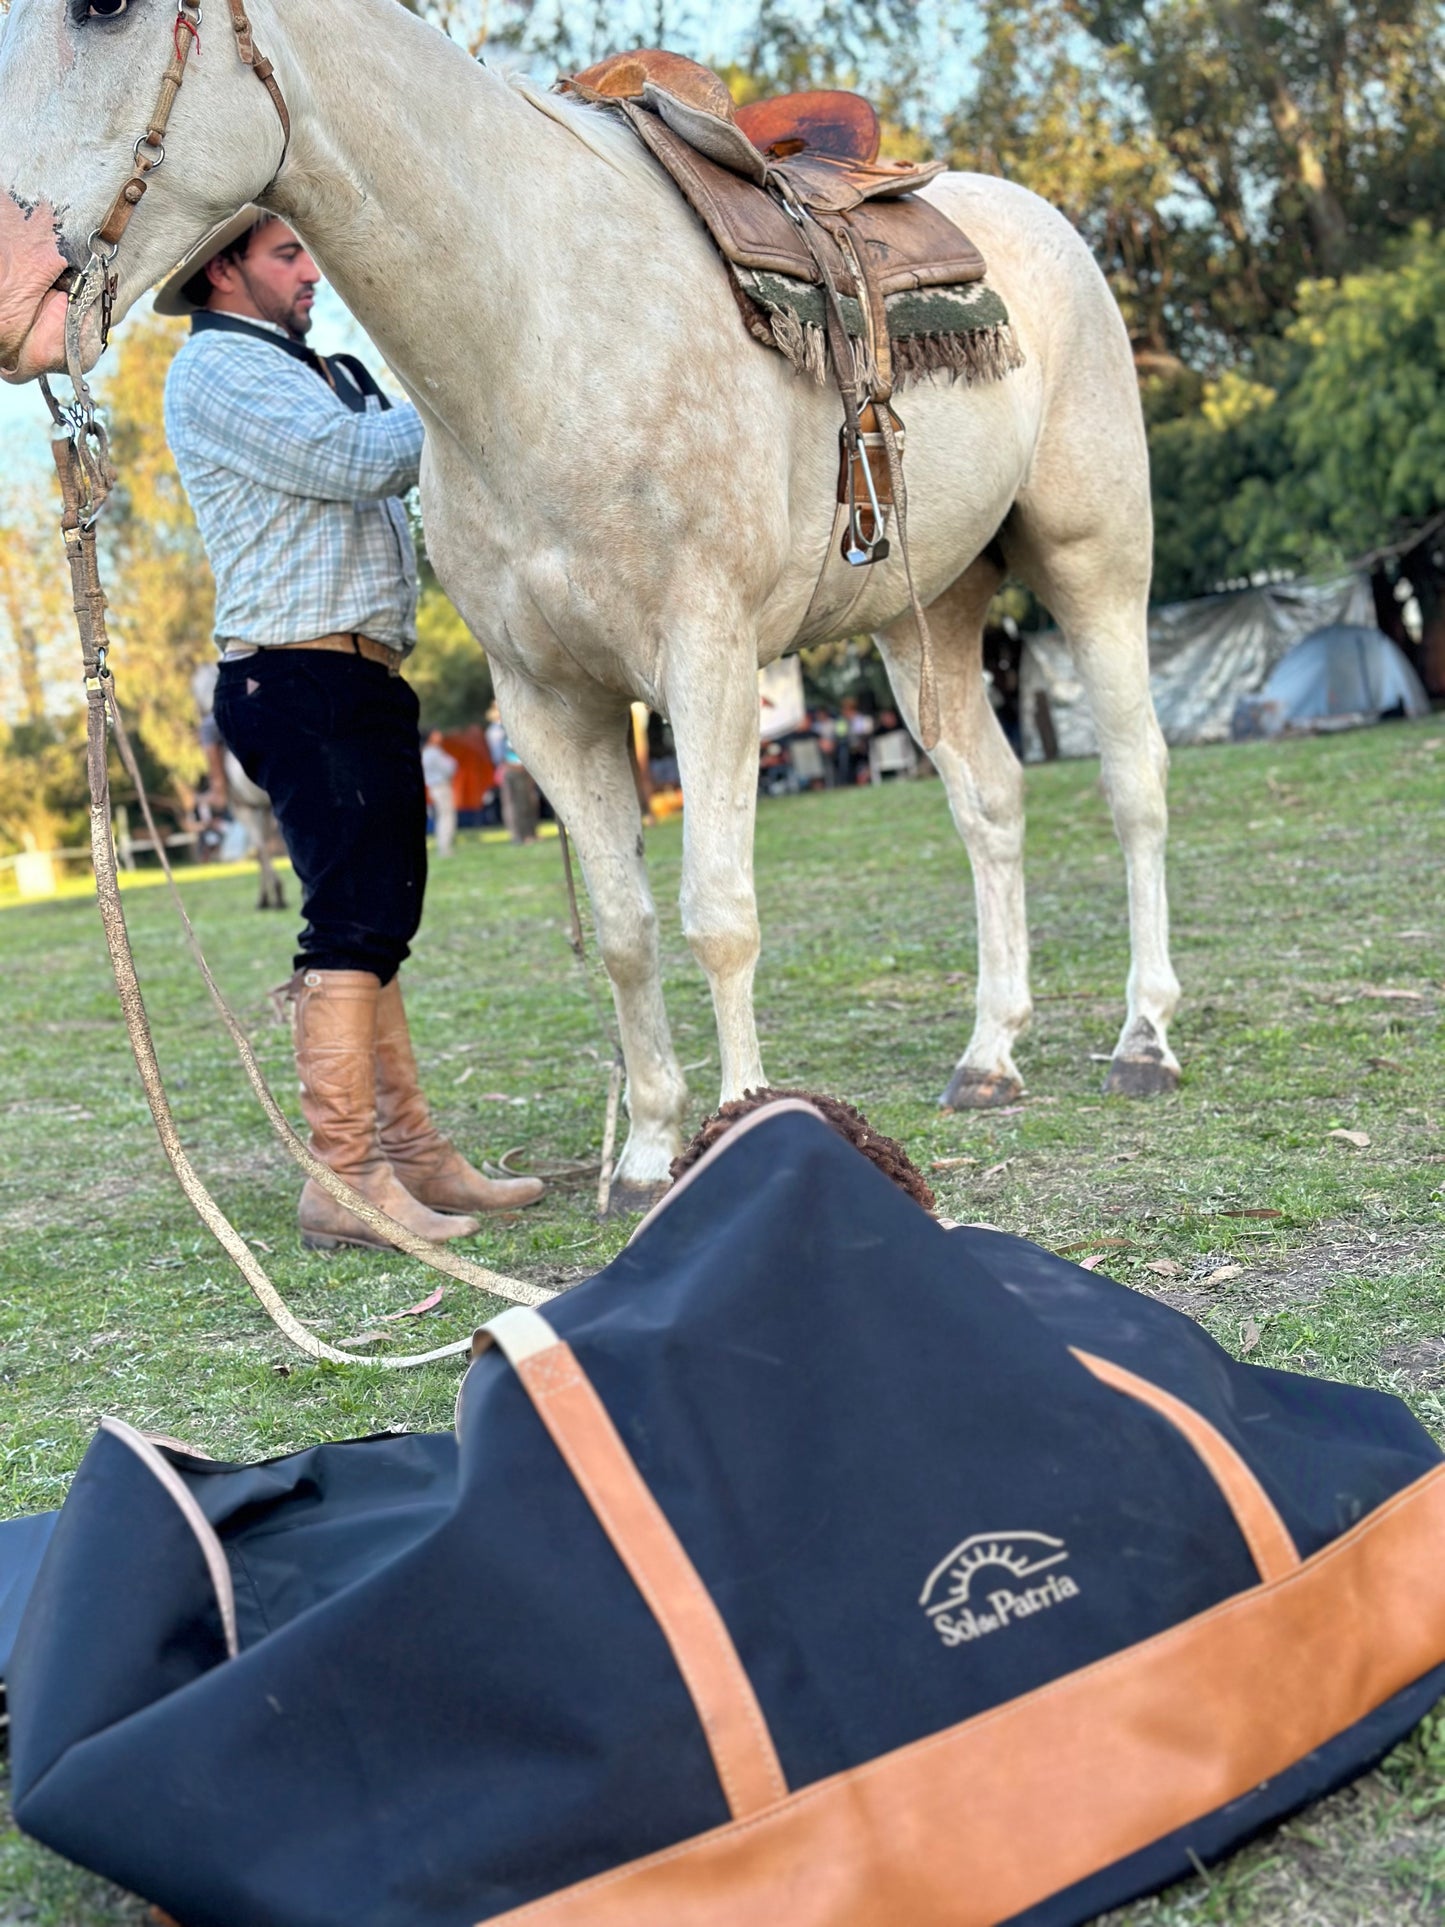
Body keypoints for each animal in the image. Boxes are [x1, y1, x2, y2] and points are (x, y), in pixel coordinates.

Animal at [0, 0, 1179, 1194]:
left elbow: (718, 916)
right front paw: (649, 1152)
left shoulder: (708, 663)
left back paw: (1144, 1039)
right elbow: (624, 927)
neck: (540, 336)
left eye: (104, 11)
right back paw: (990, 1055)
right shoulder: (551, 704)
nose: (10, 292)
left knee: (1132, 781)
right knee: (989, 801)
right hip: (924, 614)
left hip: (1093, 564)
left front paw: (742, 1127)